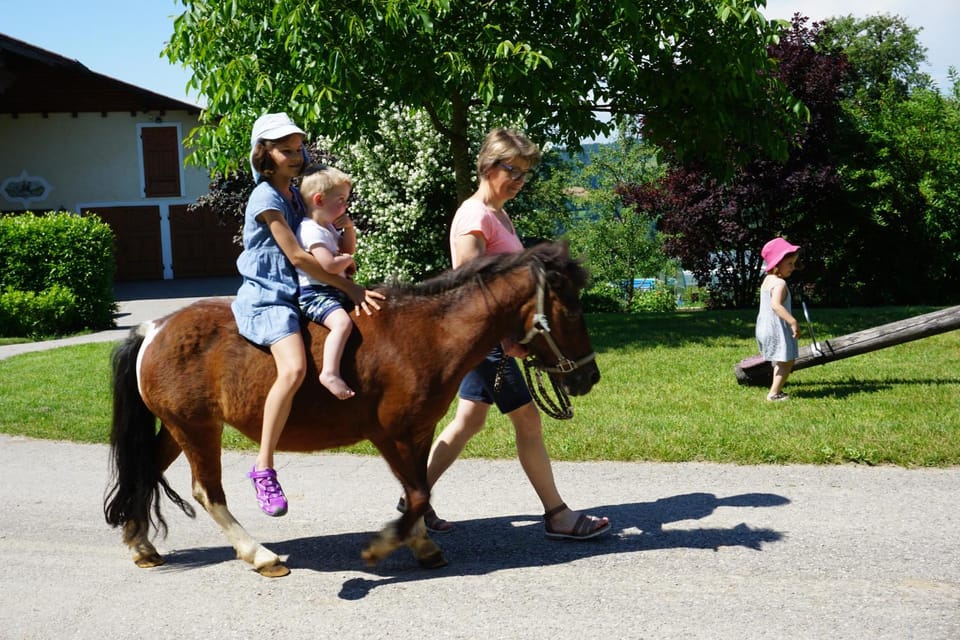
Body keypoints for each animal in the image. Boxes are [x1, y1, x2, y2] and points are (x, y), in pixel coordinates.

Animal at [103, 241, 601, 577]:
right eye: (573, 310)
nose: (589, 377)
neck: (427, 333)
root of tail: (154, 328)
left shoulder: (418, 432)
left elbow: (419, 490)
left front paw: (420, 544)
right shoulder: (391, 433)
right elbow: (416, 495)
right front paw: (384, 545)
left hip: (177, 427)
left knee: (145, 470)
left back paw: (140, 543)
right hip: (198, 429)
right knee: (208, 492)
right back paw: (259, 554)